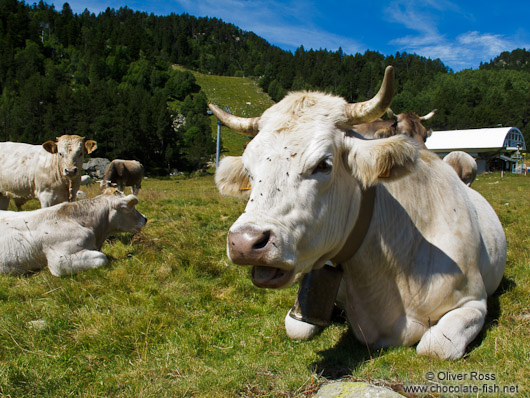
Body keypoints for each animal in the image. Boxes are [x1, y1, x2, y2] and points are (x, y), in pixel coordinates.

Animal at [209, 67, 504, 360]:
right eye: (249, 169)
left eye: (324, 164)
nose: (245, 243)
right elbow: (296, 328)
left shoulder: (473, 302)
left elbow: (434, 347)